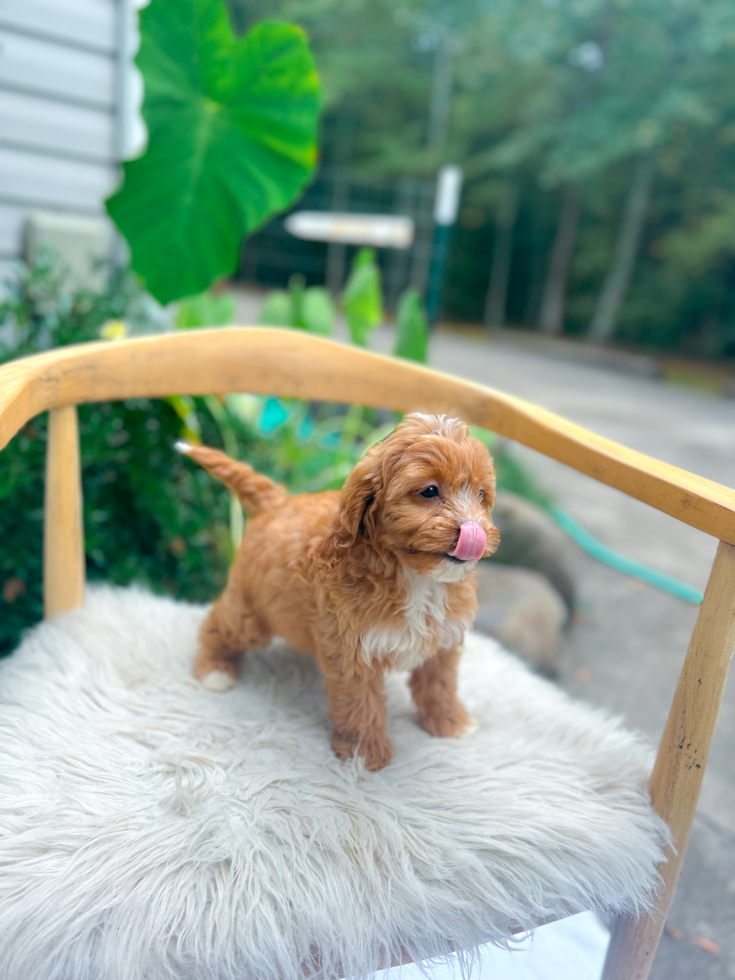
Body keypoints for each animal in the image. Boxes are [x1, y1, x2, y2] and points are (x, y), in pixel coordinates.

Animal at [179, 410, 500, 768]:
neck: (417, 578)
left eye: (482, 495)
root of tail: (277, 501)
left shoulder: (444, 642)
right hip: (253, 610)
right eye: (429, 491)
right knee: (220, 623)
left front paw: (450, 723)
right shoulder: (352, 651)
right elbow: (361, 704)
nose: (474, 531)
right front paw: (365, 754)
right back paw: (214, 670)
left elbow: (439, 686)